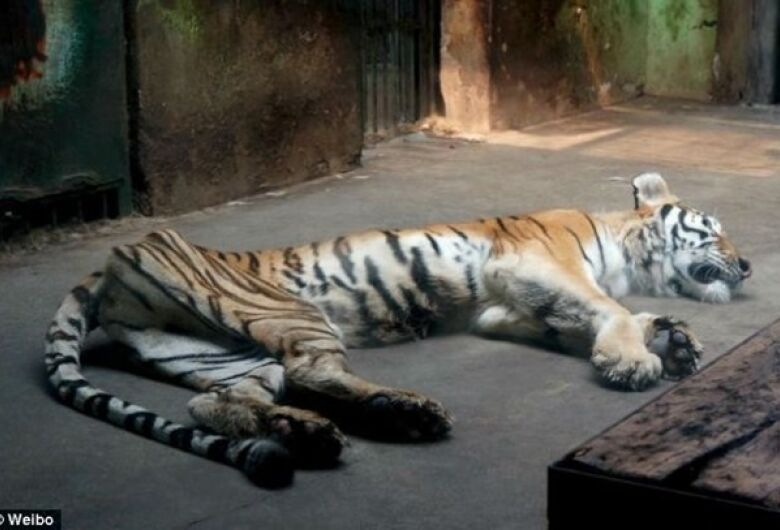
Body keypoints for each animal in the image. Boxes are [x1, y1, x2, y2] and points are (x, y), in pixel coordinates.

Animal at [45, 172, 751, 488]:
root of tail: (109, 261)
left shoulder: (505, 307)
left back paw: (303, 434)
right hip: (289, 314)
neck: (627, 253)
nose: (746, 265)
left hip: (219, 354)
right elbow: (607, 309)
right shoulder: (532, 265)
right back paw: (406, 412)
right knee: (310, 371)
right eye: (714, 230)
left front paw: (673, 337)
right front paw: (636, 358)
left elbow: (597, 317)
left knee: (216, 402)